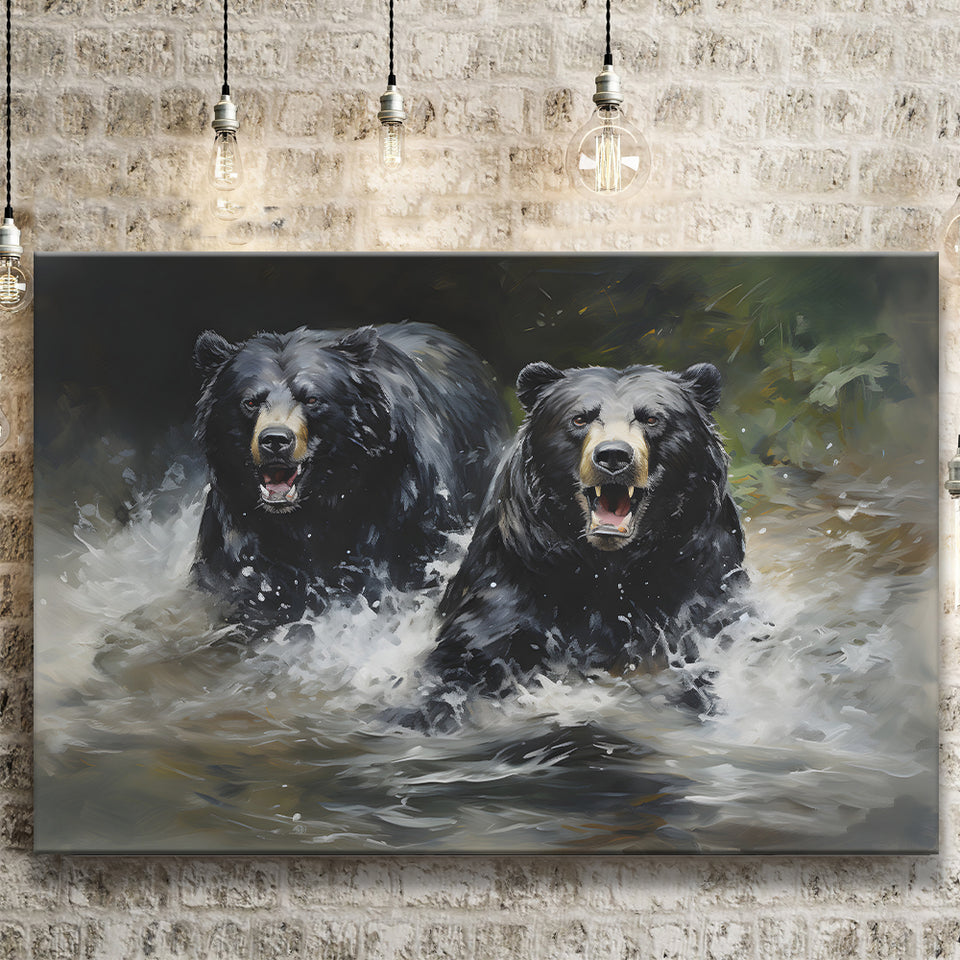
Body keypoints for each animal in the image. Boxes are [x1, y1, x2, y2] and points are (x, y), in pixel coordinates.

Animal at [410, 358, 748, 728]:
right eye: (580, 418)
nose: (613, 456)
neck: (609, 566)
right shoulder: (515, 581)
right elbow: (470, 650)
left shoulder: (699, 582)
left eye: (651, 418)